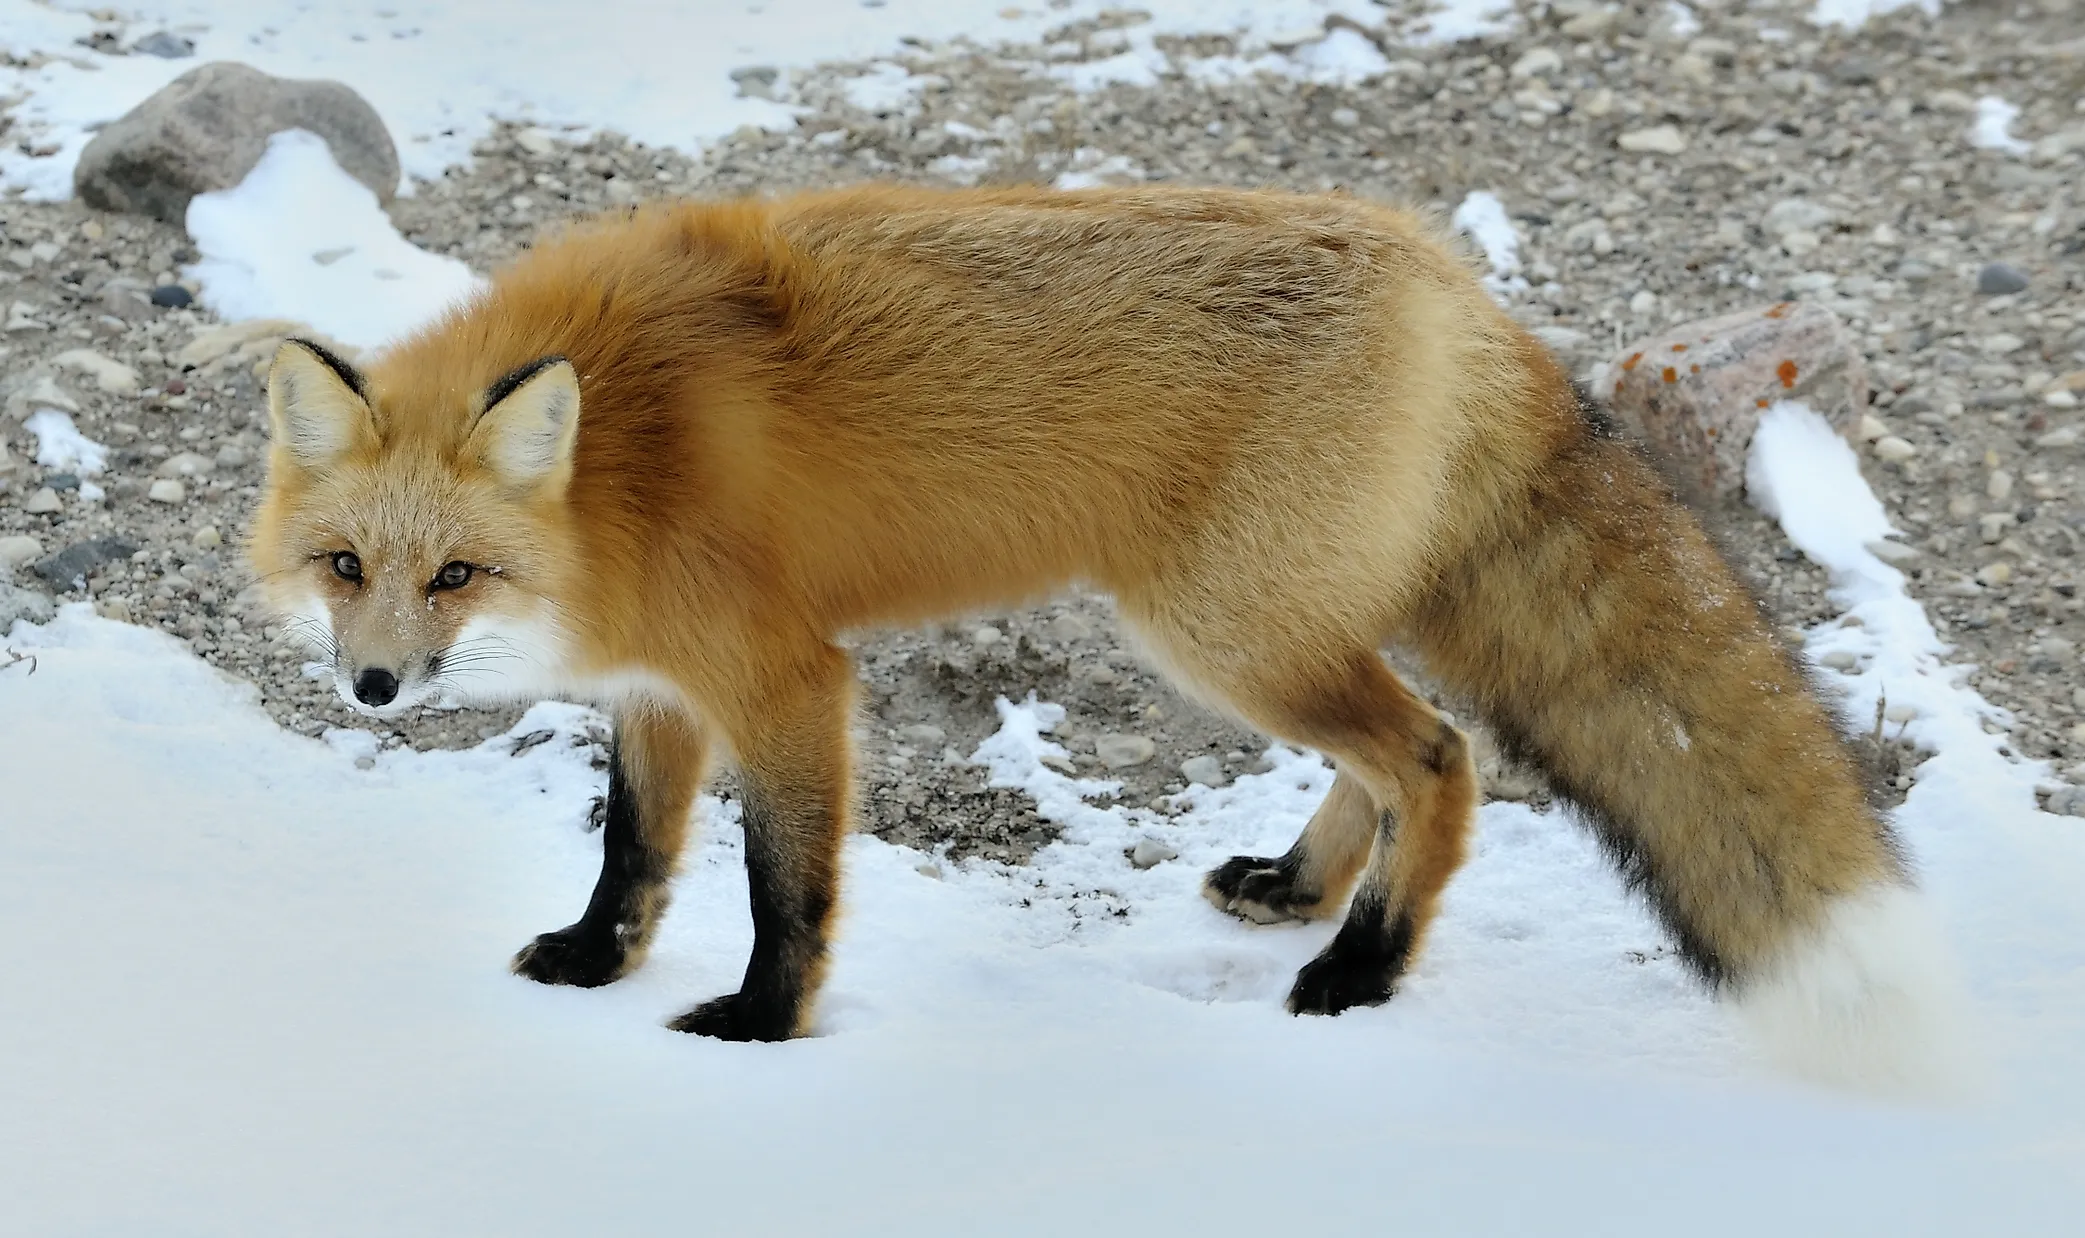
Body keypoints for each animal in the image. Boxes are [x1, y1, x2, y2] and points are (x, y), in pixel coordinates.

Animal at [252, 183, 1959, 1092]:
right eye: (348, 566)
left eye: (455, 573)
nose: (374, 685)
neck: (626, 457)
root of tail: (1450, 282)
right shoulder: (666, 682)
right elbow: (636, 851)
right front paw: (593, 965)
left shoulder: (786, 675)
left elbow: (783, 885)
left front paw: (759, 1026)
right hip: (1275, 626)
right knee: (1407, 753)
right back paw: (1299, 889)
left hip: (1220, 631)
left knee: (1440, 754)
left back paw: (1361, 968)